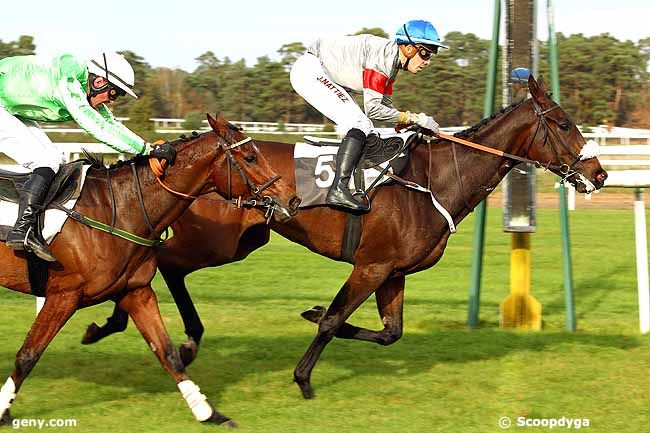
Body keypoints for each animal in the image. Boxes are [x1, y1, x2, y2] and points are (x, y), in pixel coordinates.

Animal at [0, 113, 298, 426]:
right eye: (251, 157)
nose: (292, 199)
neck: (117, 210)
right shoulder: (64, 294)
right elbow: (28, 354)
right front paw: (4, 410)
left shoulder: (137, 291)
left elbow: (167, 352)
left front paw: (208, 412)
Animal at [83, 77, 604, 398]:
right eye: (562, 123)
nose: (598, 173)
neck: (434, 181)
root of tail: (188, 156)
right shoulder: (370, 266)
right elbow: (335, 321)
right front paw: (303, 377)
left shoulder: (395, 272)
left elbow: (390, 333)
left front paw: (311, 312)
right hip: (215, 241)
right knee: (165, 263)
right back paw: (153, 332)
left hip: (238, 243)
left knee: (166, 265)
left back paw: (136, 328)